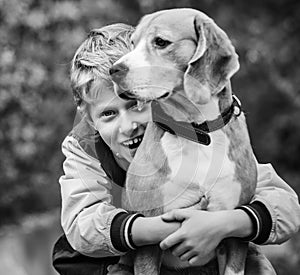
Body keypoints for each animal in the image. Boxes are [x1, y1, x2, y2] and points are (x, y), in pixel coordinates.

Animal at [110, 7, 258, 274]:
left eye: (161, 42)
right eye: (133, 43)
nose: (114, 70)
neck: (198, 132)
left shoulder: (236, 231)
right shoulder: (148, 237)